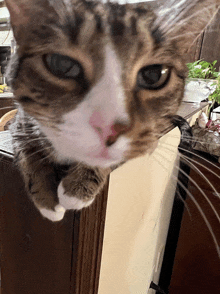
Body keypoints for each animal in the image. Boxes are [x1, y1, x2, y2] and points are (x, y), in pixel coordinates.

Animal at [4, 0, 219, 220]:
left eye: (153, 75)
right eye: (61, 64)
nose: (108, 127)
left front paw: (75, 191)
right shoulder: (20, 123)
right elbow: (28, 156)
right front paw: (48, 202)